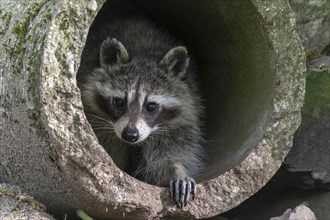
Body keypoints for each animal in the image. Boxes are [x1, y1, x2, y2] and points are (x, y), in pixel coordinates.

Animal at [77, 17, 205, 208]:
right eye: (119, 102)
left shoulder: (182, 122)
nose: (130, 135)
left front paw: (178, 170)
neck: (143, 52)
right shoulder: (97, 121)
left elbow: (171, 157)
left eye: (151, 107)